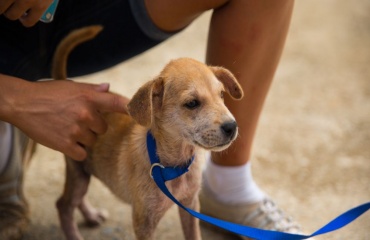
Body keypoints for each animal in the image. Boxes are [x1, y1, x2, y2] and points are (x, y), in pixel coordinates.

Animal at [52, 25, 243, 239]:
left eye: (221, 95)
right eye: (192, 103)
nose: (232, 126)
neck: (173, 166)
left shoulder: (190, 205)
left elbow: (194, 235)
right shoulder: (144, 222)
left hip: (83, 170)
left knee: (74, 200)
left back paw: (91, 215)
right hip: (77, 168)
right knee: (64, 205)